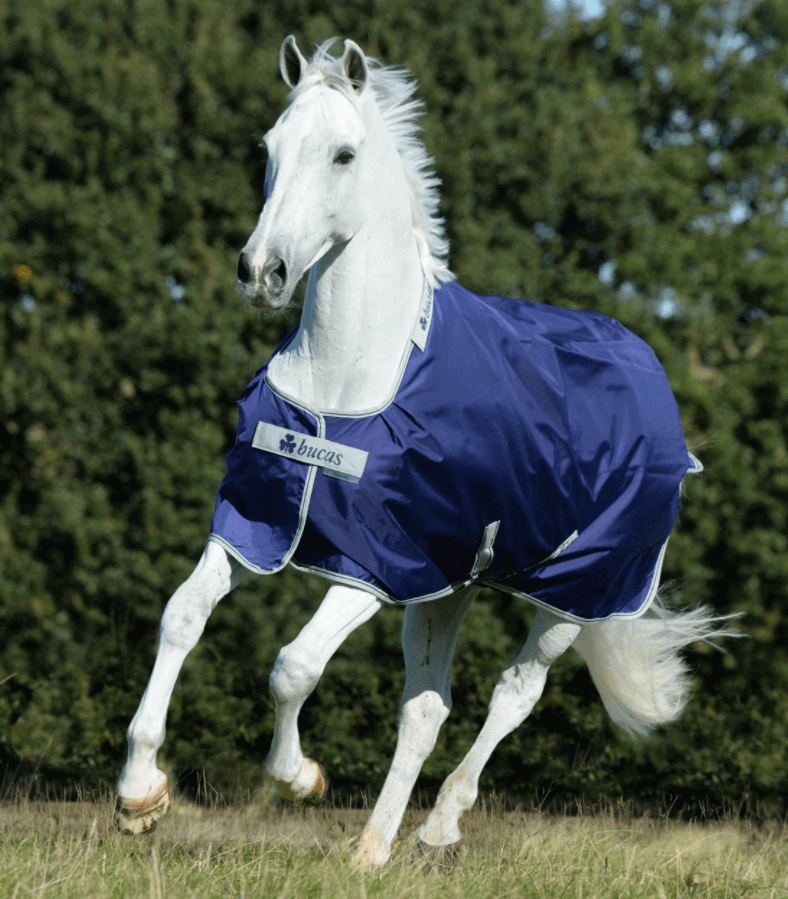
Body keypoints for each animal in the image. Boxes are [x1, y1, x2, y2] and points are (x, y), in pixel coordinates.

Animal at [115, 36, 736, 868]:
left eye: (343, 154)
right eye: (270, 148)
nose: (261, 272)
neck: (346, 383)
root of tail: (658, 388)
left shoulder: (374, 566)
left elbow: (293, 666)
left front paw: (301, 777)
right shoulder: (258, 524)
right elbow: (182, 616)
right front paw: (139, 795)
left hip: (574, 595)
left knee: (514, 693)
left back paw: (438, 826)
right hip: (450, 589)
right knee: (427, 706)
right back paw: (372, 849)